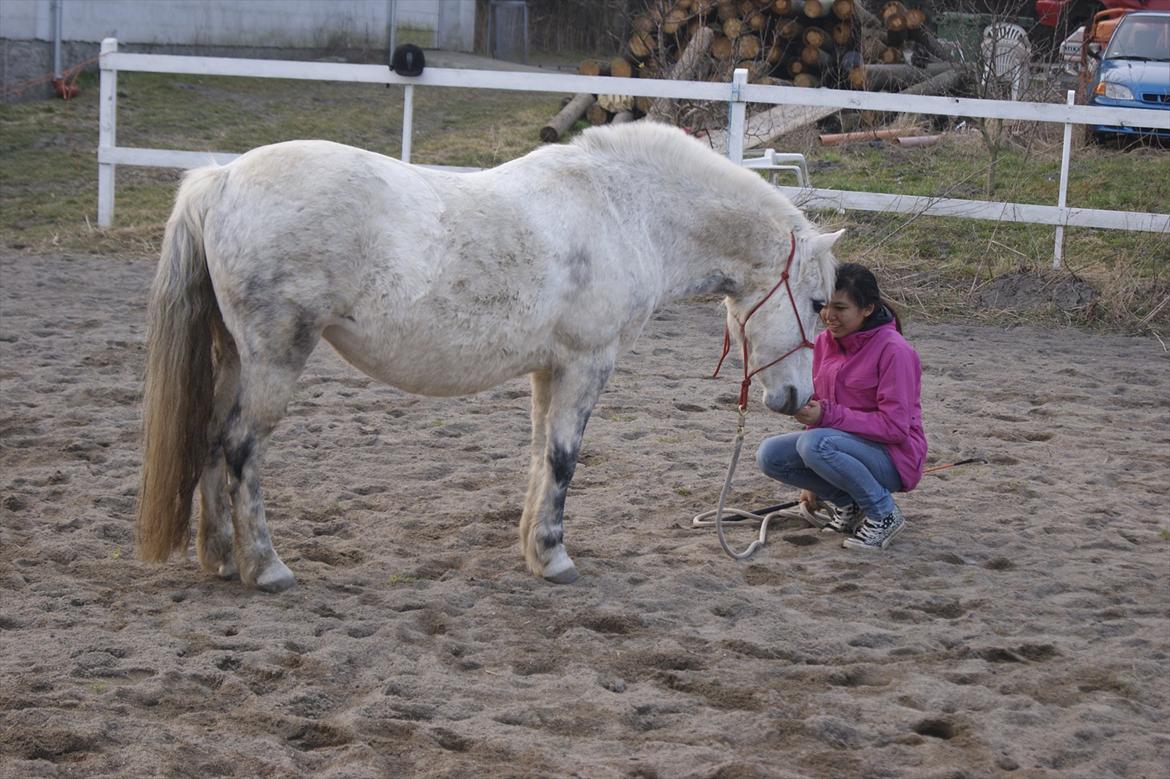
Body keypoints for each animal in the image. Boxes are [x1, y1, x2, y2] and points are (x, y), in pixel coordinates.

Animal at [134, 122, 842, 589]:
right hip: (275, 358)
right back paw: (266, 567)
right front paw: (556, 559)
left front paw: (533, 548)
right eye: (815, 302)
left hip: (235, 358)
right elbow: (564, 458)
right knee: (240, 449)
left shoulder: (549, 370)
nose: (798, 399)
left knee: (209, 439)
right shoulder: (587, 364)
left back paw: (220, 558)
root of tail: (221, 179)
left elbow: (540, 456)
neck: (624, 210)